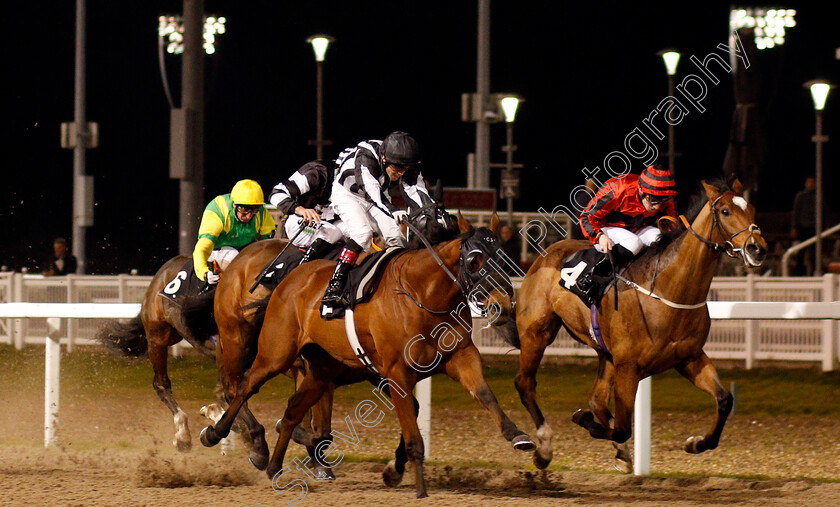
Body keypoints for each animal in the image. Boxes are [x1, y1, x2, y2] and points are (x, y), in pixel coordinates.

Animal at [200, 212, 536, 498]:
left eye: (503, 257)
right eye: (474, 259)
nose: (503, 303)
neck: (422, 294)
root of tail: (289, 280)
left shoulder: (459, 356)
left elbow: (483, 393)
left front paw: (517, 434)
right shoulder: (397, 372)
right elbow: (412, 433)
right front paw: (419, 487)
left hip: (319, 370)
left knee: (293, 409)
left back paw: (275, 467)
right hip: (272, 353)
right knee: (243, 386)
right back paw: (222, 435)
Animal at [508, 180, 764, 472]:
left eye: (752, 208)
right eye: (725, 211)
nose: (758, 248)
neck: (667, 289)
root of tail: (545, 254)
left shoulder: (689, 357)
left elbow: (724, 400)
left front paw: (697, 443)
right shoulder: (629, 367)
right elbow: (621, 428)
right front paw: (582, 420)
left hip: (605, 351)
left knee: (596, 397)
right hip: (537, 332)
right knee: (525, 383)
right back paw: (543, 448)